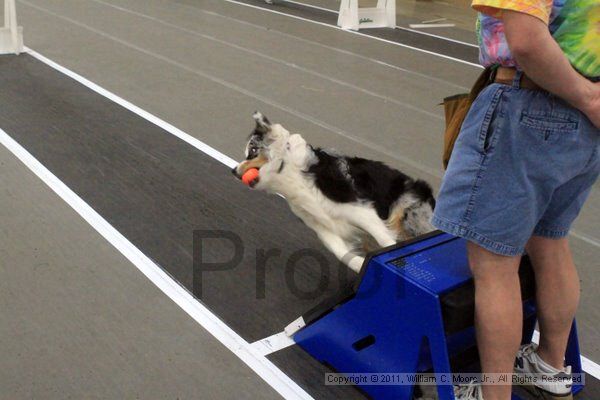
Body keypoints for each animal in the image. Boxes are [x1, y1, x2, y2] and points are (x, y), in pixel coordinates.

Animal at [232, 112, 434, 272]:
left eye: (252, 150)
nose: (233, 171)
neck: (289, 173)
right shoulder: (323, 226)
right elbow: (342, 253)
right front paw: (361, 266)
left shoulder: (361, 211)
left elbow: (386, 241)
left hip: (406, 214)